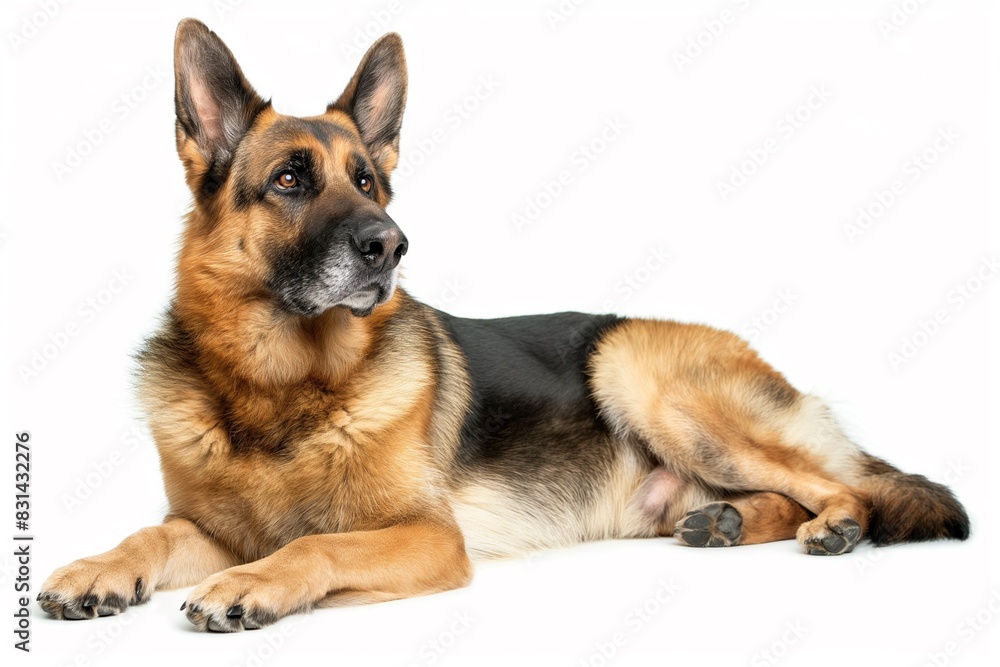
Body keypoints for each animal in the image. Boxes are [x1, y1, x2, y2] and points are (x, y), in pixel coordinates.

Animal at [39, 15, 968, 632]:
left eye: (367, 180)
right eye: (290, 180)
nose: (390, 245)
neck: (282, 386)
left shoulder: (428, 536)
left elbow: (309, 547)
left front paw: (250, 585)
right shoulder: (209, 528)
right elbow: (147, 531)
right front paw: (97, 567)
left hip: (637, 372)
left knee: (850, 484)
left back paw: (834, 522)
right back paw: (730, 522)